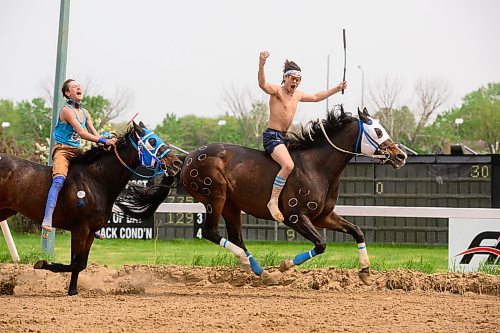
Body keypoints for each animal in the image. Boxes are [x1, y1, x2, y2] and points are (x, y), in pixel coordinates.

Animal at [0, 121, 182, 294]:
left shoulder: (91, 231)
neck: (95, 180)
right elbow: (75, 263)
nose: (176, 163)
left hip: (5, 211)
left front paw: (73, 290)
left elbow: (81, 264)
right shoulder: (80, 228)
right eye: (152, 141)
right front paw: (42, 263)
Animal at [118, 108, 406, 282]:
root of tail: (186, 158)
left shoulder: (323, 216)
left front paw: (365, 271)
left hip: (232, 205)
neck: (317, 166)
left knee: (236, 238)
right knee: (211, 232)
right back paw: (255, 268)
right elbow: (321, 244)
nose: (400, 156)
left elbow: (357, 231)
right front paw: (285, 265)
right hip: (215, 197)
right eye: (377, 131)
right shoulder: (295, 217)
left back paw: (257, 270)